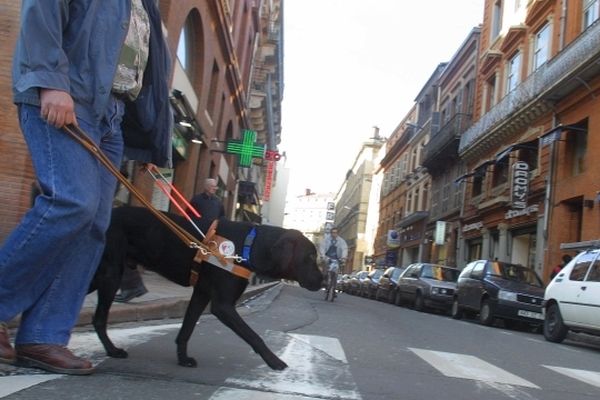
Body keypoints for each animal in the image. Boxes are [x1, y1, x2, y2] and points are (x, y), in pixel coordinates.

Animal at [88, 208, 324, 370]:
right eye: (310, 256)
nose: (323, 281)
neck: (248, 245)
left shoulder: (201, 294)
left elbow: (187, 329)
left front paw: (183, 359)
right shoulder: (222, 305)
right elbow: (254, 335)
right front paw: (274, 361)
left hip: (100, 274)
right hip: (110, 274)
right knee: (98, 318)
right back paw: (112, 350)